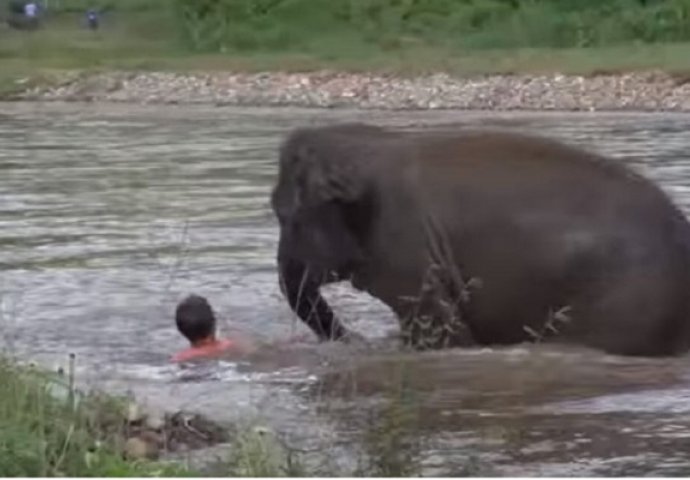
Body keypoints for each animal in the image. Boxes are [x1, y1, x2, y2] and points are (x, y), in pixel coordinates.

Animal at [270, 123, 690, 356]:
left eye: (283, 215)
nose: (353, 340)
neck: (369, 147)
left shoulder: (405, 250)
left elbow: (441, 333)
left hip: (626, 306)